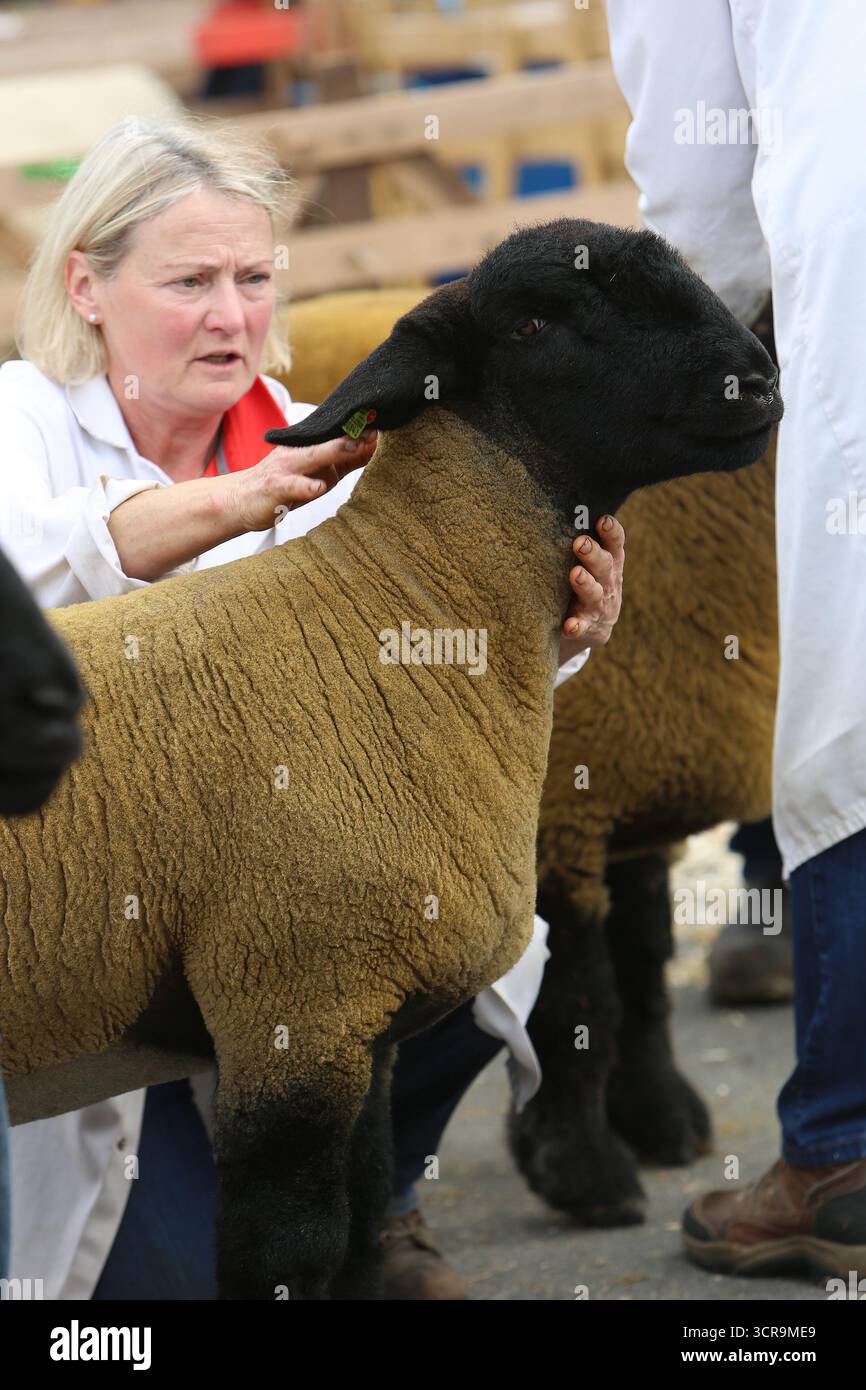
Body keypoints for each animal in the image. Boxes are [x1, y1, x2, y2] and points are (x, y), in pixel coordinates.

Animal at [0, 219, 781, 1299]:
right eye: (532, 322)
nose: (756, 383)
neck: (387, 616)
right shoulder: (292, 1011)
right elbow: (290, 1249)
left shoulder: (362, 1027)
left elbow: (364, 1224)